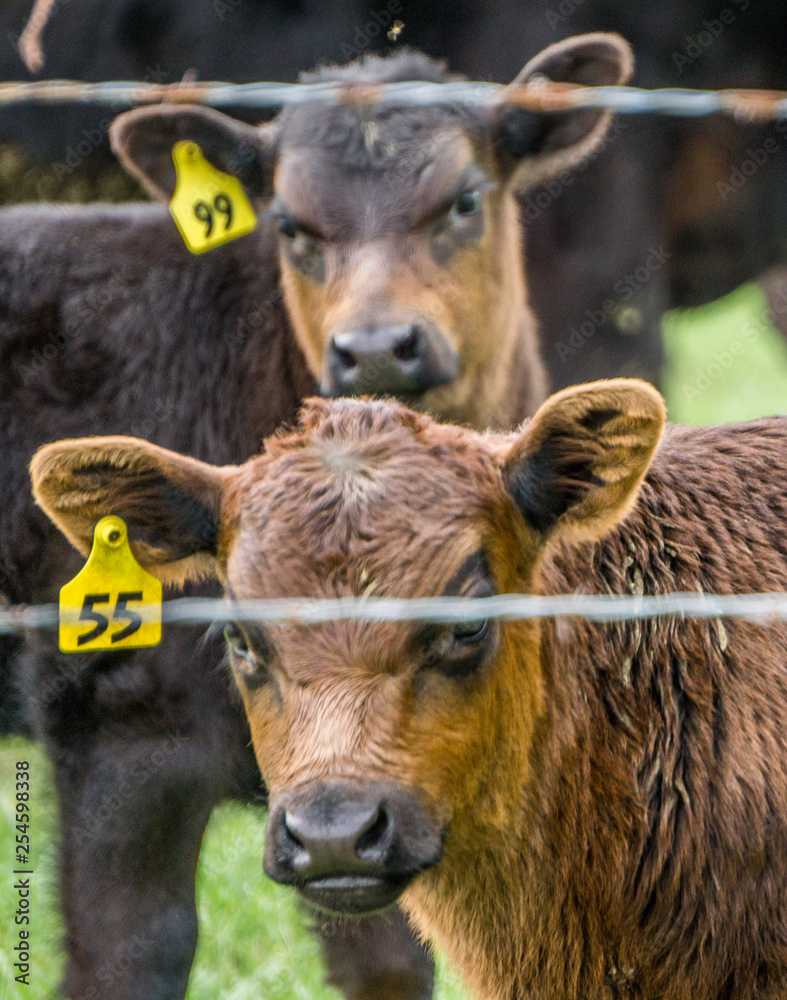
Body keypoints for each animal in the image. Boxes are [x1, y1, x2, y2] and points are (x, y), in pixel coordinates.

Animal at [1, 35, 631, 1000]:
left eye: (464, 199)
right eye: (291, 226)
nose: (373, 348)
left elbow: (388, 960)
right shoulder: (118, 717)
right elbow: (132, 952)